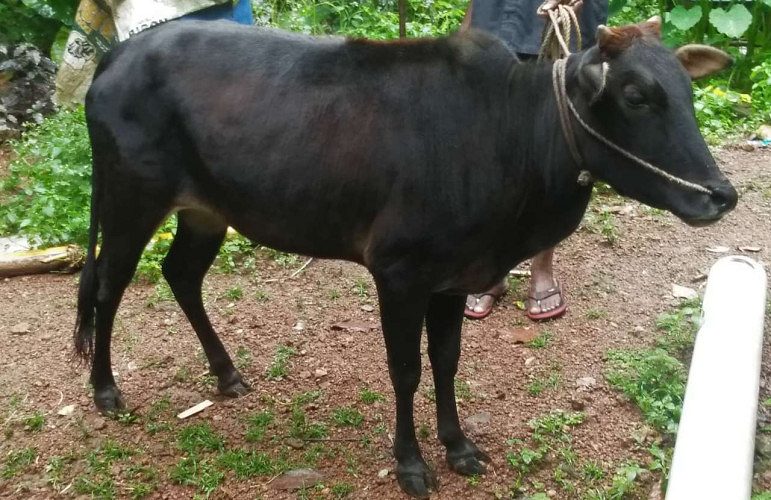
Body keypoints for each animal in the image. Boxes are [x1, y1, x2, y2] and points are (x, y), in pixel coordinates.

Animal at [75, 16, 736, 498]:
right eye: (636, 96)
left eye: (687, 93)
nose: (720, 196)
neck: (510, 134)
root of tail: (118, 55)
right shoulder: (398, 274)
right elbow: (406, 369)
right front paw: (412, 464)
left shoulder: (454, 278)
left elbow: (445, 362)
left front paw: (459, 446)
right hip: (132, 200)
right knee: (107, 285)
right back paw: (106, 391)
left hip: (207, 211)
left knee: (180, 275)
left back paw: (227, 373)